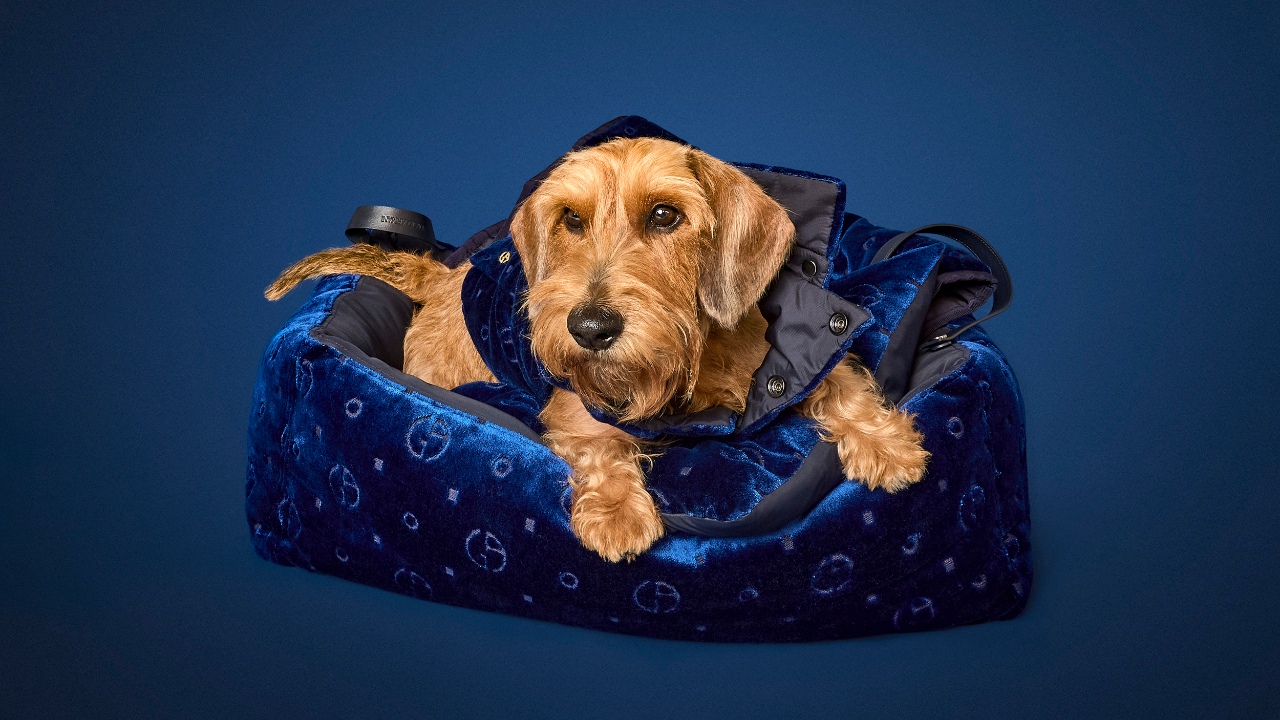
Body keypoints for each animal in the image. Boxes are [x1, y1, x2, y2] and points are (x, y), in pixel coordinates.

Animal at [266, 137, 929, 562]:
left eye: (664, 214)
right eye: (570, 217)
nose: (588, 327)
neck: (694, 367)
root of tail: (438, 276)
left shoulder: (792, 362)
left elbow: (842, 381)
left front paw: (888, 444)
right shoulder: (575, 403)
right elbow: (601, 444)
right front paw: (617, 513)